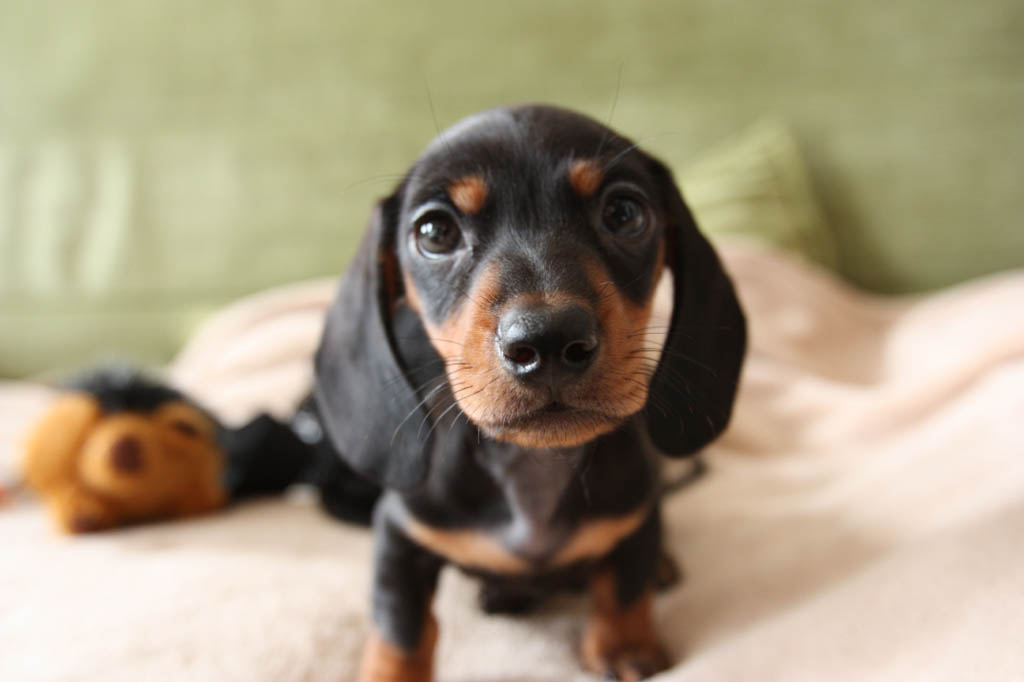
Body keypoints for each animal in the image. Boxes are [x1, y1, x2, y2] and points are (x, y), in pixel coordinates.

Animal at [311, 103, 745, 675]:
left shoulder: (636, 510)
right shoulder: (399, 534)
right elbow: (401, 629)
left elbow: (626, 580)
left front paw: (624, 644)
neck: (533, 466)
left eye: (624, 213)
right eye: (435, 231)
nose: (549, 340)